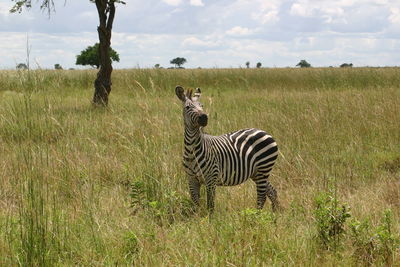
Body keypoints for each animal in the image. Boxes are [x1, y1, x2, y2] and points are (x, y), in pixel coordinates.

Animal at [177, 86, 280, 214]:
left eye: (202, 105)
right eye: (187, 107)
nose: (204, 117)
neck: (192, 150)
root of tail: (265, 132)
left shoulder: (211, 178)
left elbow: (210, 205)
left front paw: (210, 219)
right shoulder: (191, 179)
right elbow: (196, 204)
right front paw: (198, 217)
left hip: (263, 168)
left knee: (262, 196)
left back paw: (257, 215)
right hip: (257, 172)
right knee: (271, 191)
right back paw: (274, 214)